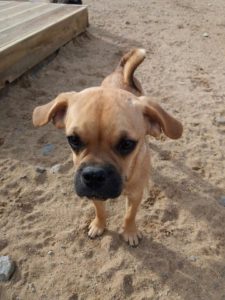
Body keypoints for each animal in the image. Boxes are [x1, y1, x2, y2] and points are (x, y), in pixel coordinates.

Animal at [32, 48, 183, 246]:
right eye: (73, 140)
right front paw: (99, 225)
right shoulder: (94, 194)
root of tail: (121, 72)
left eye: (127, 144)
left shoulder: (135, 195)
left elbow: (129, 216)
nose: (94, 176)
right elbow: (100, 211)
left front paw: (129, 232)